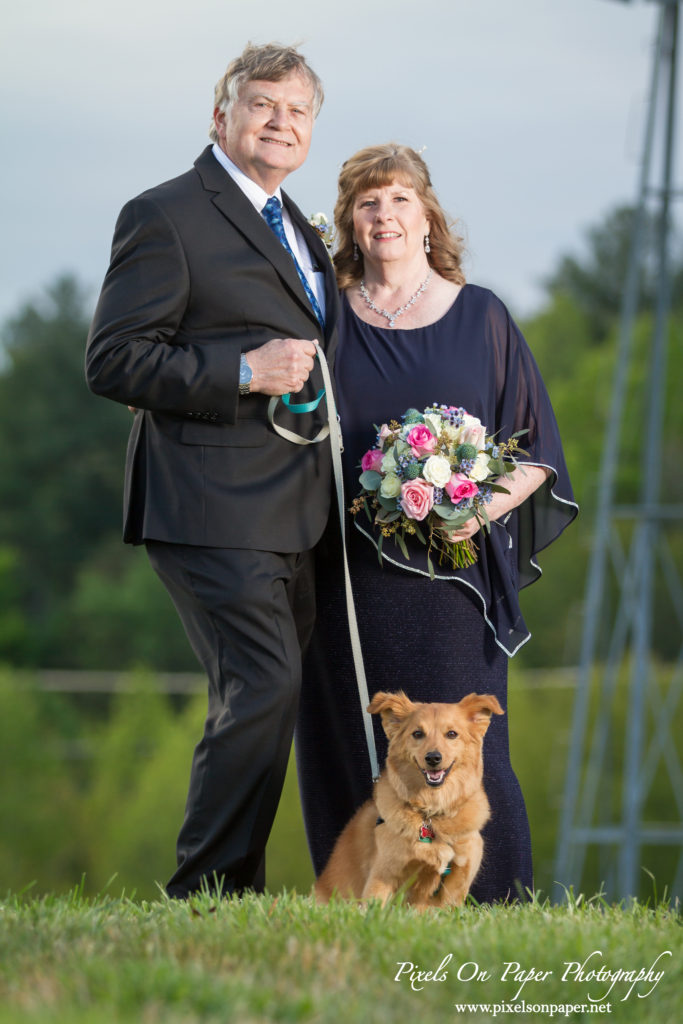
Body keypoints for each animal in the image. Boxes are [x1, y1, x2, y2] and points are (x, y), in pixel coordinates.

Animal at [313, 692, 501, 909]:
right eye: (417, 733)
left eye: (452, 734)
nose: (433, 758)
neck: (431, 814)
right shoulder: (383, 875)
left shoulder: (458, 879)